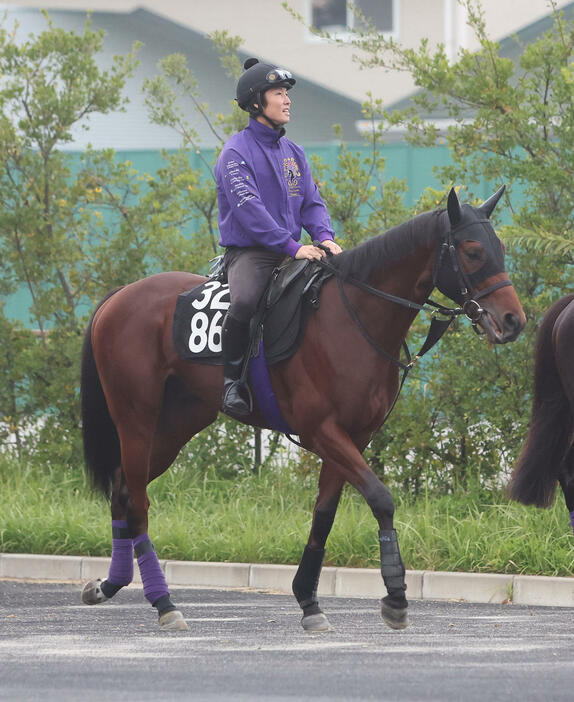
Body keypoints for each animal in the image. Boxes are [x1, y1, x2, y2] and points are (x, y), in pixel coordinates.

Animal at [80, 186, 528, 632]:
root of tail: (118, 297)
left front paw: (309, 602)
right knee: (138, 502)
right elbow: (381, 498)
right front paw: (396, 595)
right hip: (136, 420)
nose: (514, 321)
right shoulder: (322, 431)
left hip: (175, 426)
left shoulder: (354, 437)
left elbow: (324, 515)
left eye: (501, 247)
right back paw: (163, 602)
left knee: (123, 491)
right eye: (472, 251)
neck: (352, 317)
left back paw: (110, 584)